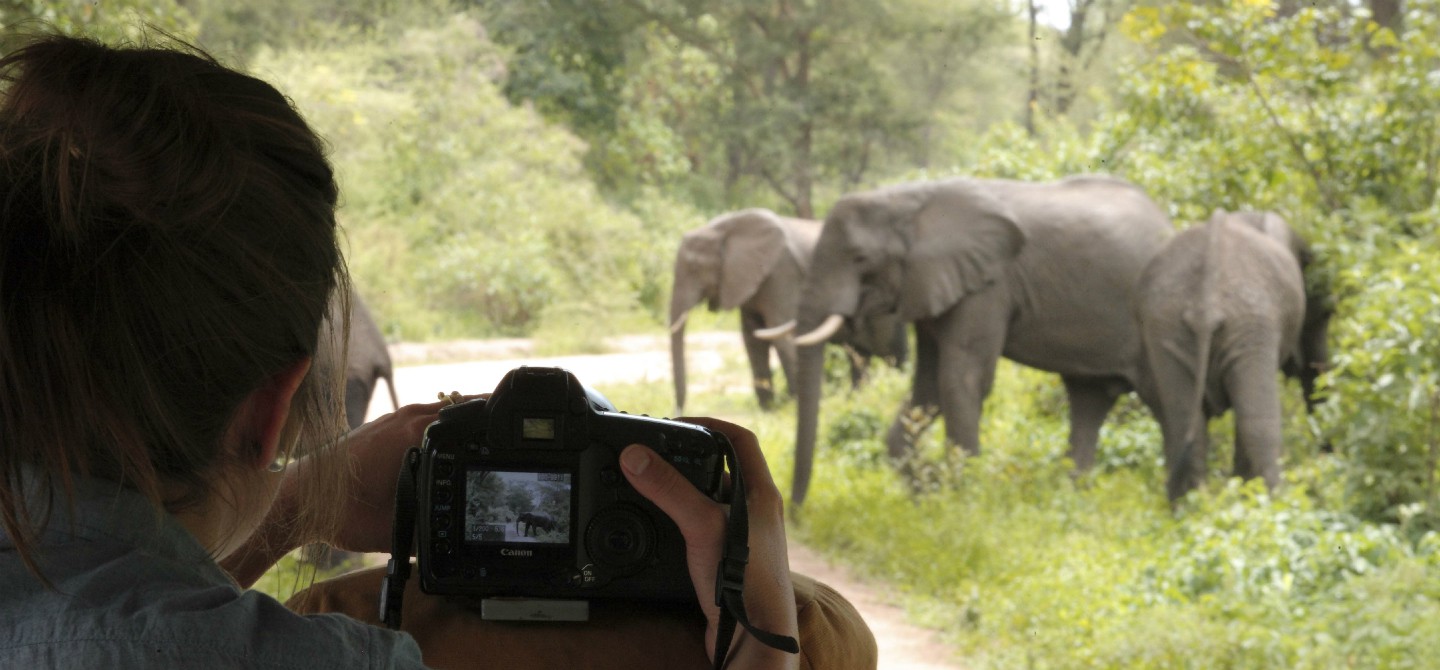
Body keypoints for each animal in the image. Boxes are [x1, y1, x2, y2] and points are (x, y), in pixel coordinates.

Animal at [668, 206, 904, 412]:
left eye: (695, 268)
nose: (678, 411)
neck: (723, 227)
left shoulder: (781, 274)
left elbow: (781, 336)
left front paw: (794, 406)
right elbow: (753, 341)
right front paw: (769, 411)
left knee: (889, 350)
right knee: (860, 355)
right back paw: (856, 397)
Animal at [794, 175, 1175, 504]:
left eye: (860, 257)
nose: (797, 510)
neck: (908, 198)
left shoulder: (989, 285)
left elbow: (961, 380)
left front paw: (962, 502)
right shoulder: (935, 285)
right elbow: (928, 388)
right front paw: (927, 494)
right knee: (1089, 400)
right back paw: (1070, 500)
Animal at [1128, 208, 1330, 501]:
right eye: (1325, 316)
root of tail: (1205, 302)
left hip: (1165, 325)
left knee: (1185, 425)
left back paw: (1193, 507)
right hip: (1250, 323)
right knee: (1258, 423)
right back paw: (1273, 501)